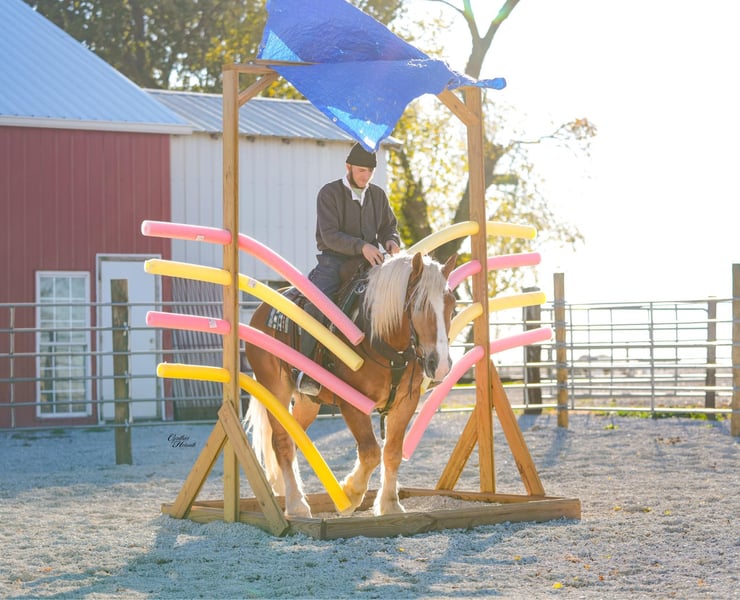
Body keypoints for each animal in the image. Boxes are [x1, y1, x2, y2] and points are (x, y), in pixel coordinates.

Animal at [244, 251, 457, 518]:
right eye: (419, 306)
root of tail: (260, 311)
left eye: (453, 306)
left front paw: (389, 504)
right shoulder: (352, 404)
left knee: (293, 438)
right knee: (281, 442)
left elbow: (392, 452)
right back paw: (296, 504)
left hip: (307, 402)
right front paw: (350, 494)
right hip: (275, 390)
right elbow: (371, 452)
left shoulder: (405, 404)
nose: (440, 365)